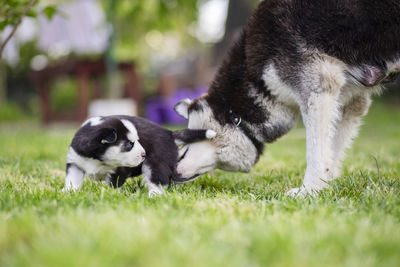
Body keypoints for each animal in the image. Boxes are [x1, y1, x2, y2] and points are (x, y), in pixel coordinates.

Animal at [62, 116, 216, 198]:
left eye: (138, 140)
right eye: (129, 144)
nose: (144, 154)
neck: (98, 160)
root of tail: (169, 134)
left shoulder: (120, 170)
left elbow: (114, 184)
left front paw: (111, 195)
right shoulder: (75, 163)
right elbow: (72, 180)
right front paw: (68, 191)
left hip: (154, 164)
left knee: (158, 180)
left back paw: (154, 195)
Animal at [174, 0, 400, 197]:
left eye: (187, 143)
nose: (171, 172)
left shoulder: (318, 84)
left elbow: (316, 153)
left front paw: (308, 191)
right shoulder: (352, 102)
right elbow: (331, 151)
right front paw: (323, 187)